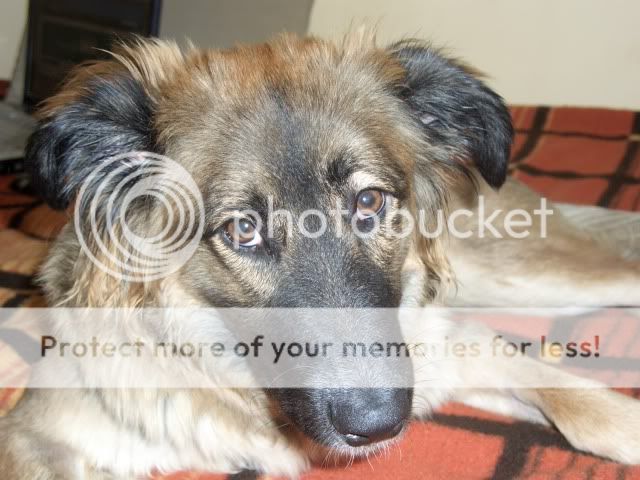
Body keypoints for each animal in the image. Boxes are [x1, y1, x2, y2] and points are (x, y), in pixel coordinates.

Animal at [1, 32, 640, 479]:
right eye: (243, 230)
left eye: (369, 201)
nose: (377, 427)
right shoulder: (33, 437)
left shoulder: (444, 345)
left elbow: (581, 403)